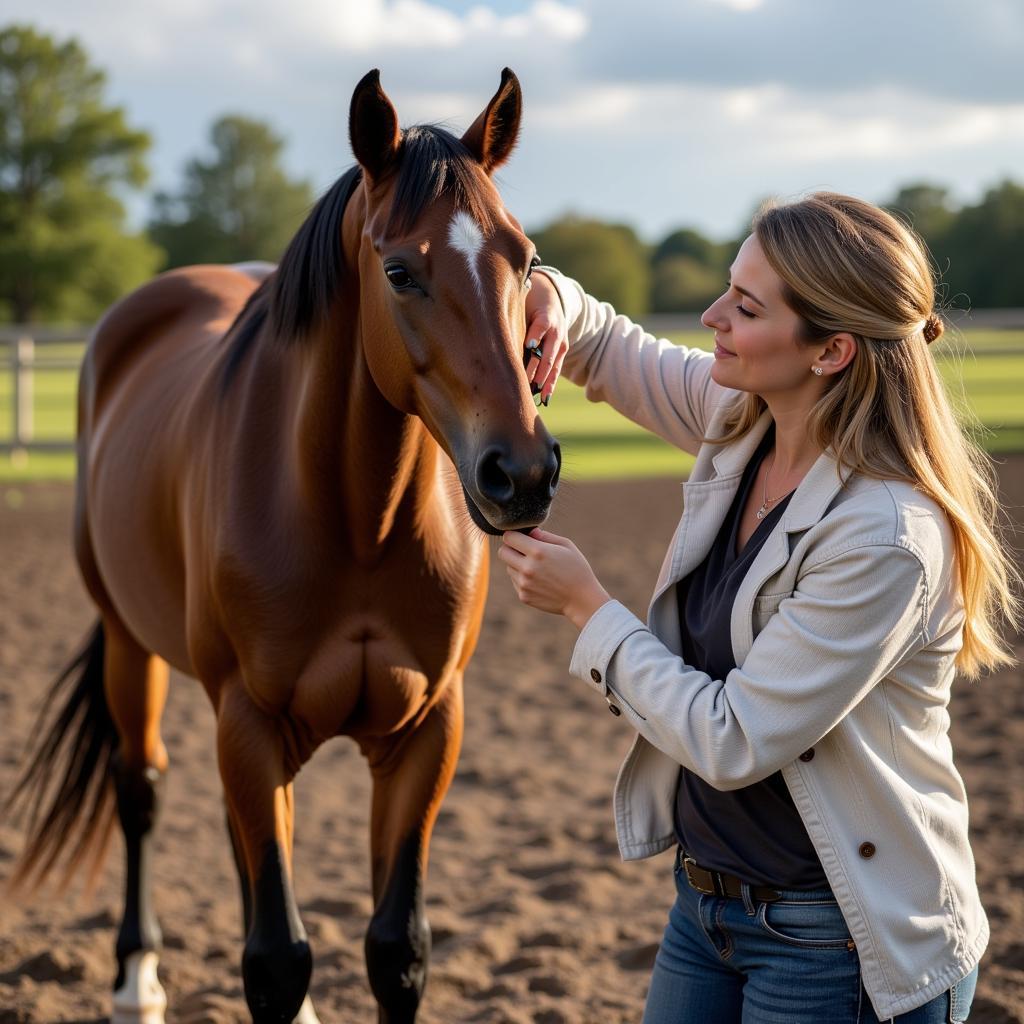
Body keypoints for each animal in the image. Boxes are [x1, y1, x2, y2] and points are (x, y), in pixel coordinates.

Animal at [6, 68, 561, 1019]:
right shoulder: (252, 720)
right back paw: (136, 981)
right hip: (129, 645)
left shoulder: (426, 730)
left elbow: (395, 948)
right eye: (400, 270)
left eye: (524, 260)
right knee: (142, 788)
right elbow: (275, 956)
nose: (520, 472)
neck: (356, 524)